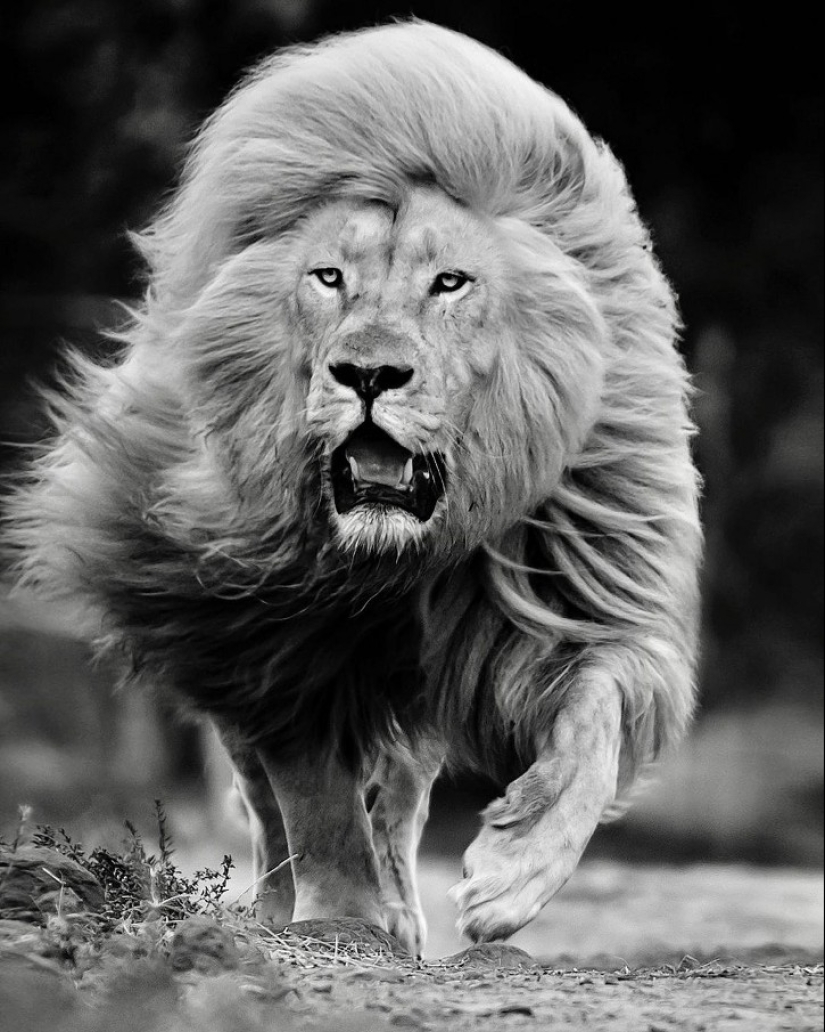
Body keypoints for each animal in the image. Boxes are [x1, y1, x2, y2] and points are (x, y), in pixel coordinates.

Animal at [5, 21, 701, 956]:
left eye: (449, 282)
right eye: (329, 277)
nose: (368, 374)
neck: (390, 561)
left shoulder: (576, 589)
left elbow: (592, 727)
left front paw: (511, 878)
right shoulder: (267, 634)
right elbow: (313, 798)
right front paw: (339, 918)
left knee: (399, 798)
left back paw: (402, 905)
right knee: (266, 801)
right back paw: (280, 906)